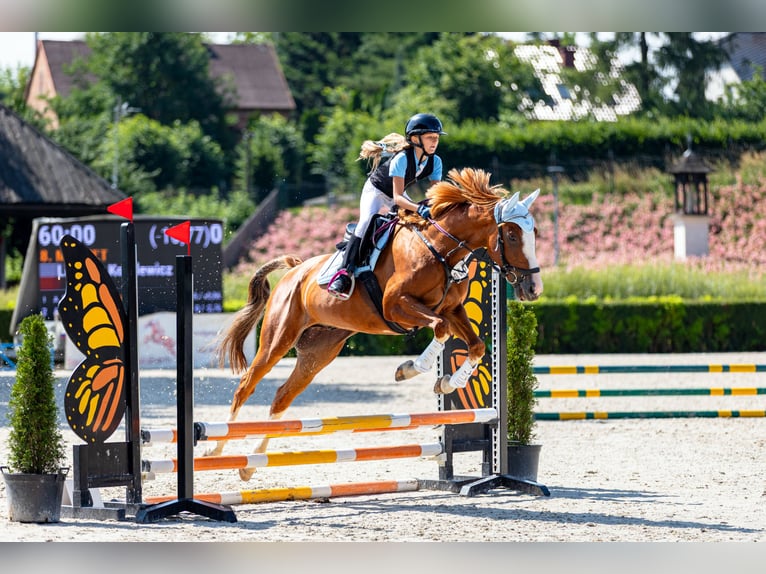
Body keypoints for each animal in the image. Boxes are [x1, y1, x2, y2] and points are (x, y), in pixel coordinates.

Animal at [210, 167, 543, 480]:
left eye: (535, 233)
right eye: (512, 236)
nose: (533, 289)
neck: (439, 248)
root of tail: (296, 269)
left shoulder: (452, 309)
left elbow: (476, 346)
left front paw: (449, 383)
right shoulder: (396, 305)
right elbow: (440, 329)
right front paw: (409, 369)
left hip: (318, 353)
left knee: (281, 397)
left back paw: (251, 465)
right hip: (278, 338)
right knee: (245, 386)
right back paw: (216, 451)